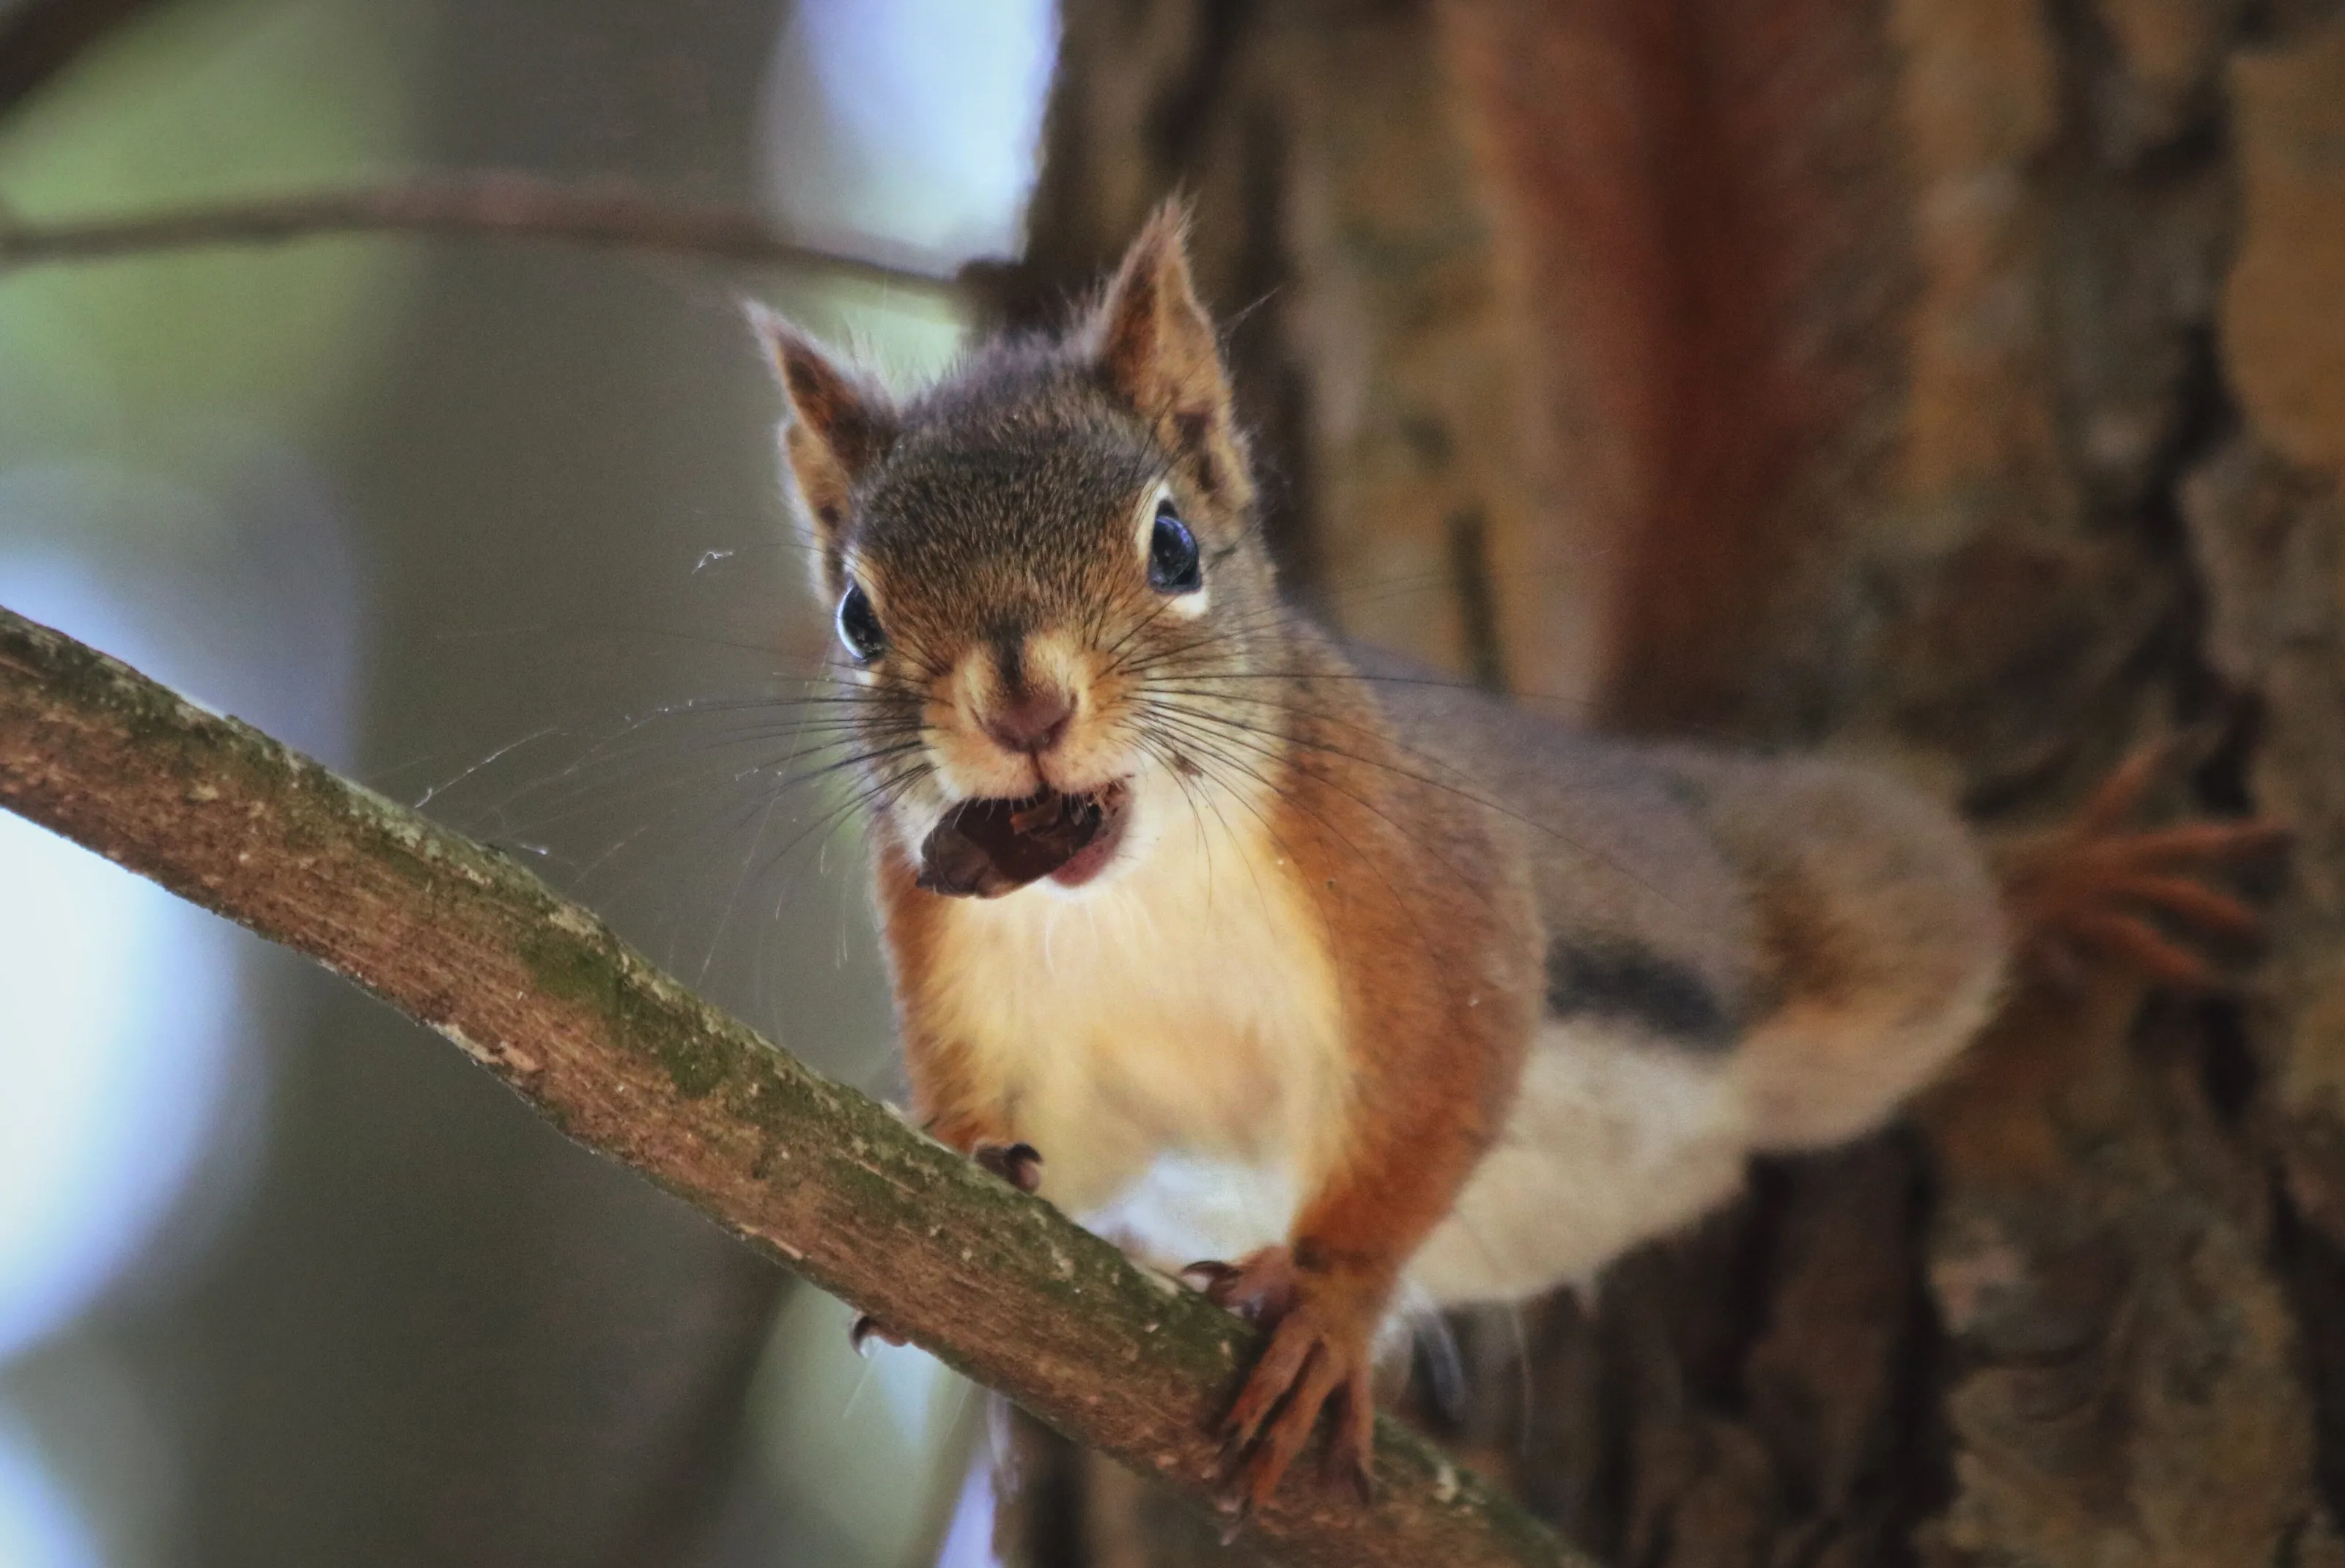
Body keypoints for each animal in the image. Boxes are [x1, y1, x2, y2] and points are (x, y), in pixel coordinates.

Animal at [747, 203, 2281, 1515]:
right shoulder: (963, 956)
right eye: (858, 617)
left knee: (1932, 908)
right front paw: (973, 1164)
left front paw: (1327, 1306)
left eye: (1172, 542)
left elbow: (1442, 1076)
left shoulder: (1428, 885)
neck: (1131, 888)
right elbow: (1038, 1131)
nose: (1024, 708)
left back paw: (2067, 876)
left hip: (1834, 928)